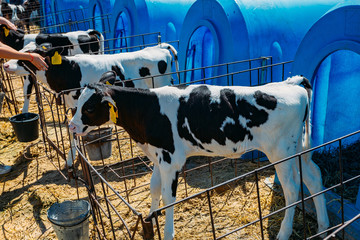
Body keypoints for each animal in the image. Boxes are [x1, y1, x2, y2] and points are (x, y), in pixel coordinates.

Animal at [67, 76, 330, 240]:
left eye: (89, 108)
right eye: (77, 103)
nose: (71, 126)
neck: (148, 109)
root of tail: (292, 84)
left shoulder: (171, 159)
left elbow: (168, 197)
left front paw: (168, 233)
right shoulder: (158, 156)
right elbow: (154, 188)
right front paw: (151, 217)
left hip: (280, 151)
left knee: (292, 189)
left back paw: (284, 233)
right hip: (298, 149)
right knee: (314, 177)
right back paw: (324, 226)